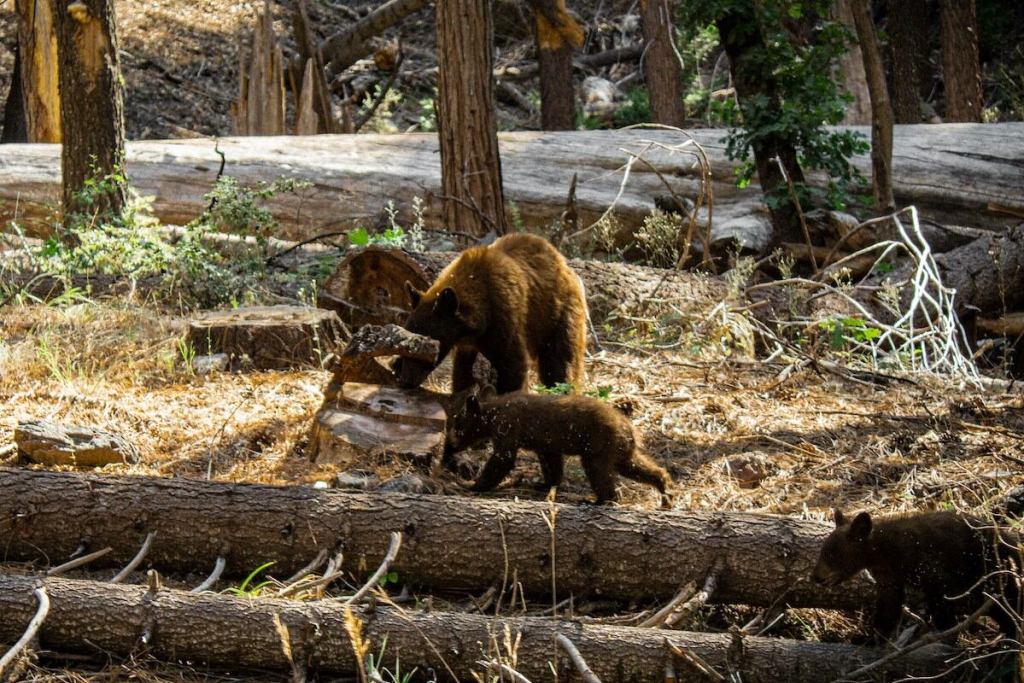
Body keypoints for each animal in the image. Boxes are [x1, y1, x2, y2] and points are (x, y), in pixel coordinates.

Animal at [392, 233, 587, 395]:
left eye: (430, 343)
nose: (407, 380)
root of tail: (566, 267)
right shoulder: (467, 345)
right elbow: (462, 373)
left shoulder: (505, 319)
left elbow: (513, 365)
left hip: (558, 314)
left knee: (560, 362)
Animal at [444, 386, 673, 505]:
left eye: (458, 423)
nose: (452, 445)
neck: (491, 414)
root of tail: (629, 428)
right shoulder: (546, 443)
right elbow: (551, 461)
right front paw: (544, 483)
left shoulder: (508, 426)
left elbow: (503, 458)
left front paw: (472, 484)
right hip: (620, 450)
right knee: (637, 466)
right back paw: (665, 489)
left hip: (599, 444)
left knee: (598, 471)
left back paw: (598, 499)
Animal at [811, 509, 1019, 640]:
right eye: (822, 552)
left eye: (832, 555)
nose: (815, 577)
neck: (883, 554)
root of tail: (1005, 537)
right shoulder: (889, 579)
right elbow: (888, 606)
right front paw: (869, 638)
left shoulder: (929, 568)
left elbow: (941, 602)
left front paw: (944, 633)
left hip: (985, 568)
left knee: (1003, 598)